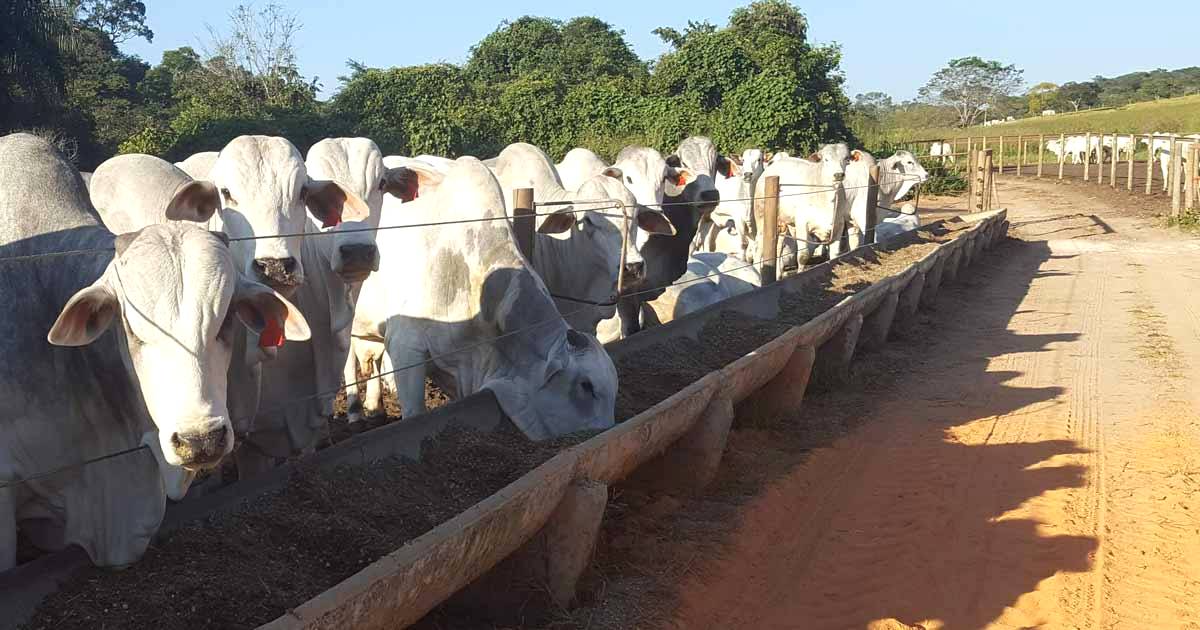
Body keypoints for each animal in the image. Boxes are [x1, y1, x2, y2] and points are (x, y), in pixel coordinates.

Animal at [348, 159, 614, 439]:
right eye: (586, 386)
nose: (606, 431)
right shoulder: (405, 346)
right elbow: (414, 412)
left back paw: (375, 408)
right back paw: (355, 414)